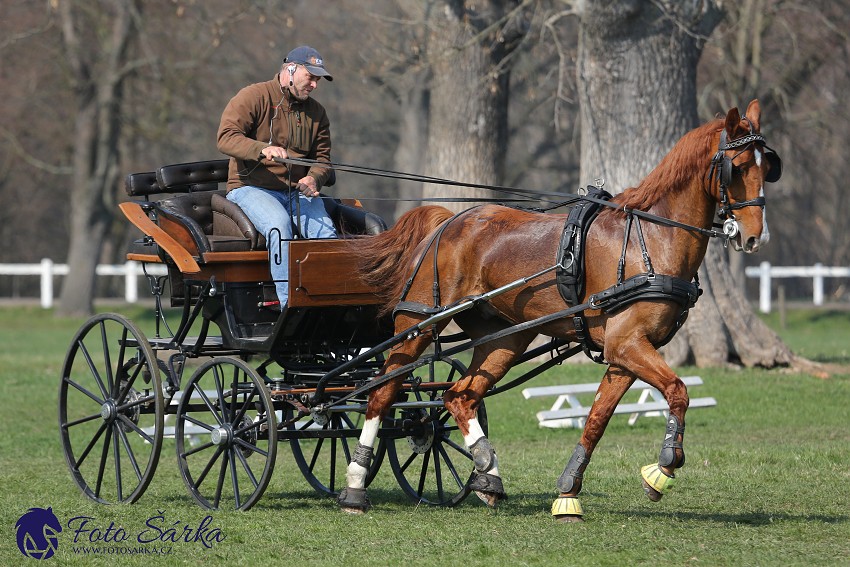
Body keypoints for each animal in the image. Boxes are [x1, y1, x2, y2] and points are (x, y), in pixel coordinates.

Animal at [334, 101, 780, 520]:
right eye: (738, 167)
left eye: (768, 166)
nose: (756, 237)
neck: (651, 238)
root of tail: (448, 222)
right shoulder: (627, 345)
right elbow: (678, 391)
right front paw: (664, 467)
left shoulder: (625, 353)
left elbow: (597, 419)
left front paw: (569, 492)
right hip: (420, 325)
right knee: (382, 391)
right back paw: (356, 485)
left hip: (507, 338)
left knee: (460, 396)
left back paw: (487, 473)